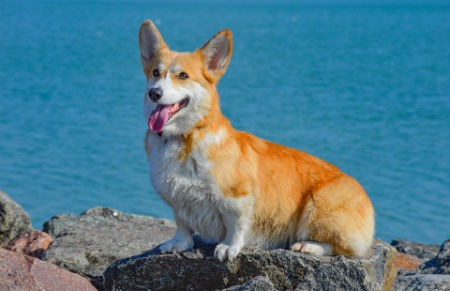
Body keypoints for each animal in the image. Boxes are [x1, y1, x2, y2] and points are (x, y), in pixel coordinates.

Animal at [139, 20, 374, 262]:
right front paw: (179, 244)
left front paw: (228, 247)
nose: (154, 93)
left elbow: (235, 225)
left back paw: (307, 246)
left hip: (317, 205)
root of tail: (367, 199)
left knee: (343, 248)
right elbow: (182, 224)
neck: (183, 136)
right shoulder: (178, 201)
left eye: (183, 76)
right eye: (155, 73)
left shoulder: (237, 197)